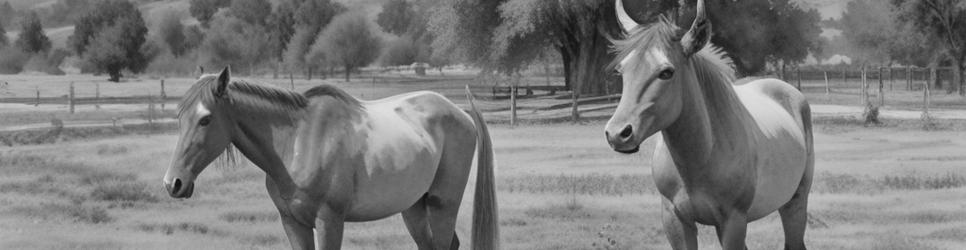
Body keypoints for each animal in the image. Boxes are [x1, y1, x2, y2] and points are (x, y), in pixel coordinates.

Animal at [162, 67, 500, 250]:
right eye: (179, 117)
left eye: (205, 119)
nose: (172, 183)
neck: (296, 141)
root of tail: (460, 114)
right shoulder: (293, 223)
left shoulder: (329, 221)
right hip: (415, 208)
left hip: (443, 205)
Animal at [604, 0, 816, 249]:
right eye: (621, 70)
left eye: (666, 72)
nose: (617, 134)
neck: (703, 156)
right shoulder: (675, 219)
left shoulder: (733, 221)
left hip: (795, 202)